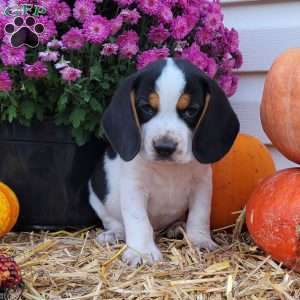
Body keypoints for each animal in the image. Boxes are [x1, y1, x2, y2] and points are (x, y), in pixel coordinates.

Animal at [89, 57, 239, 266]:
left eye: (191, 111)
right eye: (146, 108)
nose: (165, 147)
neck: (169, 170)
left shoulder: (201, 185)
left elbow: (199, 215)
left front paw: (200, 240)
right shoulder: (134, 188)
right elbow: (139, 221)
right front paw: (142, 252)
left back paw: (177, 226)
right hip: (96, 196)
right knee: (114, 221)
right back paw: (114, 234)